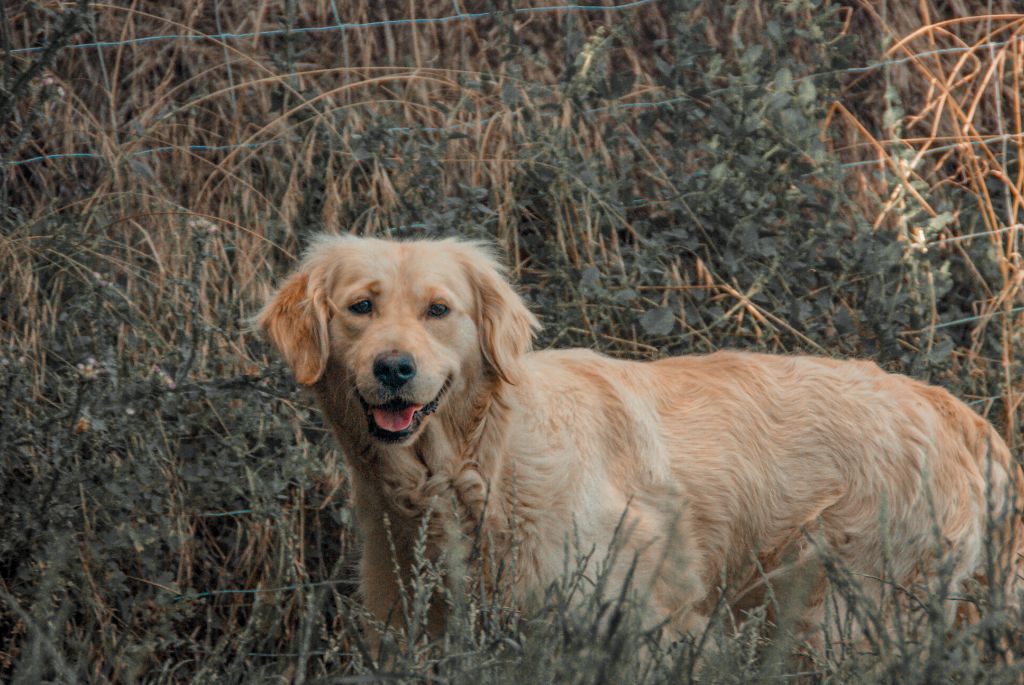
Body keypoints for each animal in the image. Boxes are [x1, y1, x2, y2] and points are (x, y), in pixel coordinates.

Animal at [260, 235, 1019, 643]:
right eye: (361, 306)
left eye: (438, 310)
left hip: (840, 610)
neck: (479, 462)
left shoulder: (639, 617)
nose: (394, 368)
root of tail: (953, 408)